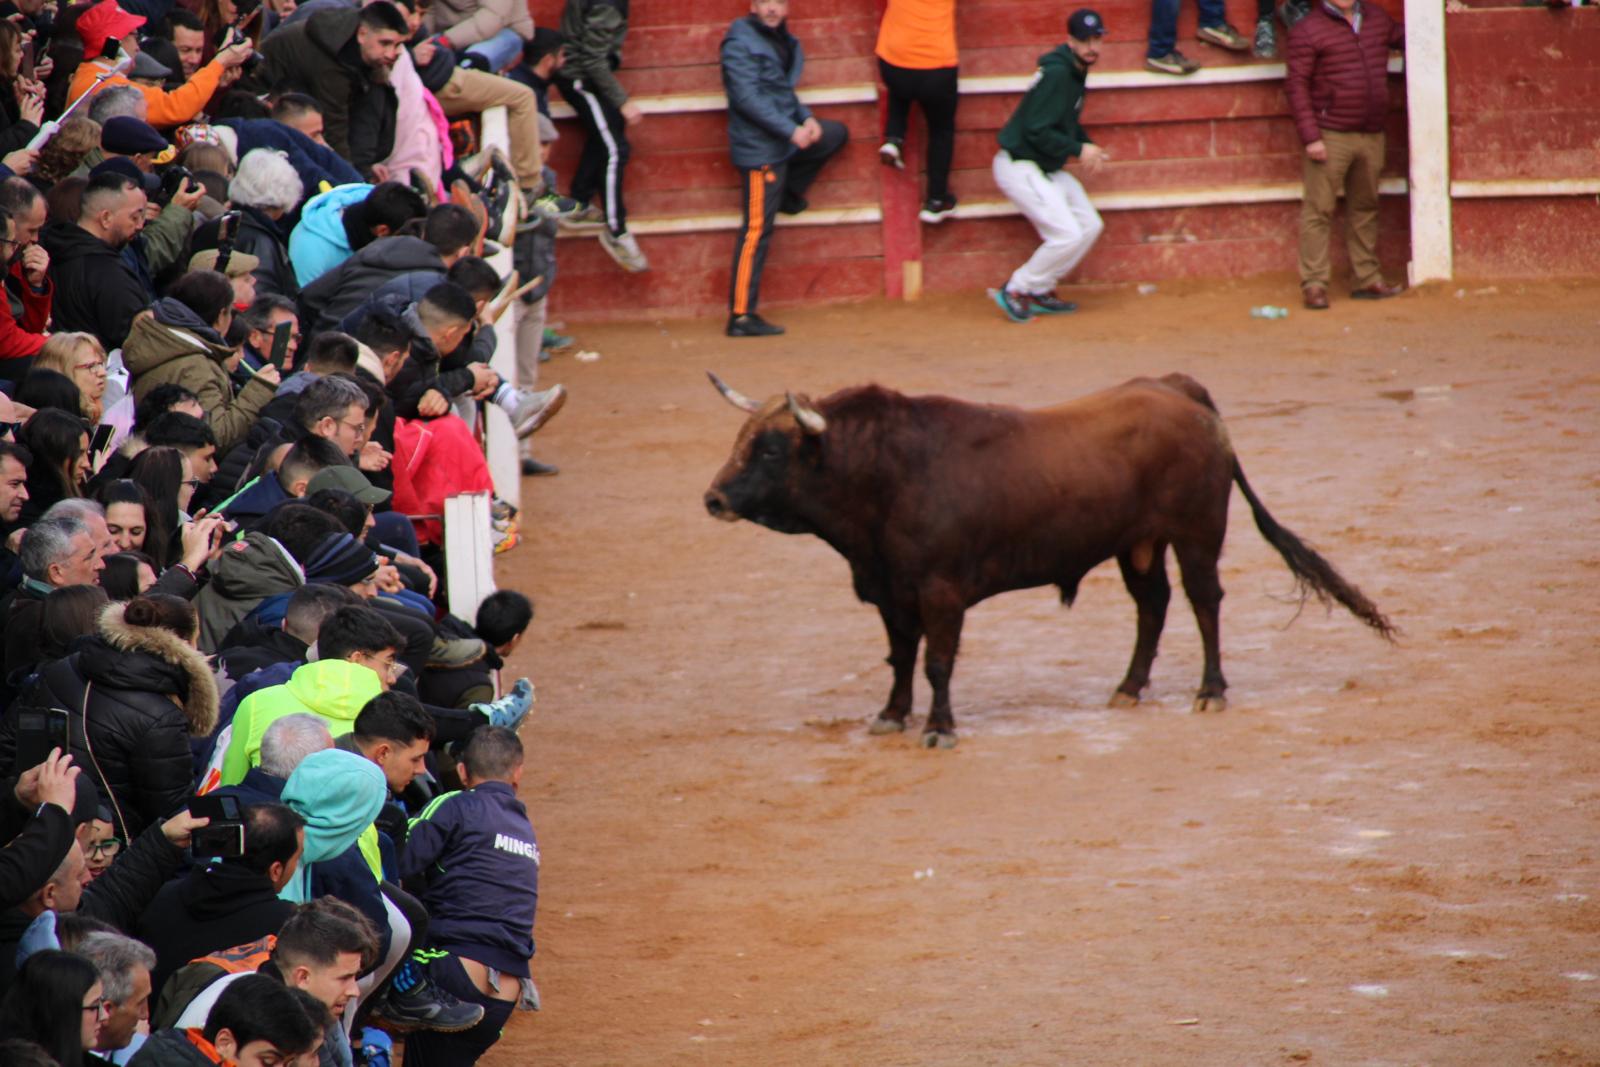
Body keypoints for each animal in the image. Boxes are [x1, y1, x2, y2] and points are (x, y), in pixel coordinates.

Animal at [700, 375, 1388, 751]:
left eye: (769, 448)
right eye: (740, 440)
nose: (713, 499)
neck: (884, 475)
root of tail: (1177, 389)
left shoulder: (940, 593)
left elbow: (937, 661)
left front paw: (938, 727)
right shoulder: (891, 592)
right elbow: (900, 657)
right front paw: (891, 716)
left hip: (1196, 534)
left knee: (1204, 603)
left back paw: (1210, 691)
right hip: (1138, 546)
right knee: (1153, 607)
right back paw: (1128, 688)